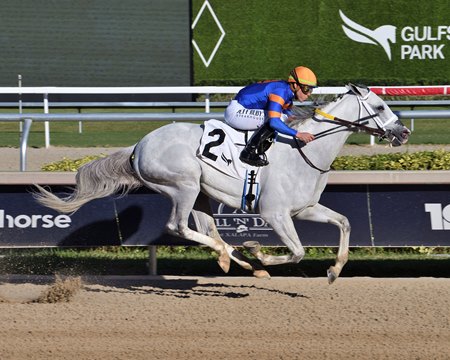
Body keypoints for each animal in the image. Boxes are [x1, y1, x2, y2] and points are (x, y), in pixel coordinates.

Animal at [33, 84, 410, 284]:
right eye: (380, 106)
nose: (404, 133)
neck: (304, 150)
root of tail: (139, 146)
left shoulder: (304, 209)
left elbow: (344, 223)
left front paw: (334, 270)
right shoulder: (274, 214)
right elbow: (297, 251)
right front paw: (257, 251)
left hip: (200, 191)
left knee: (206, 229)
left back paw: (234, 260)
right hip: (182, 185)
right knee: (178, 226)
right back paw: (238, 257)